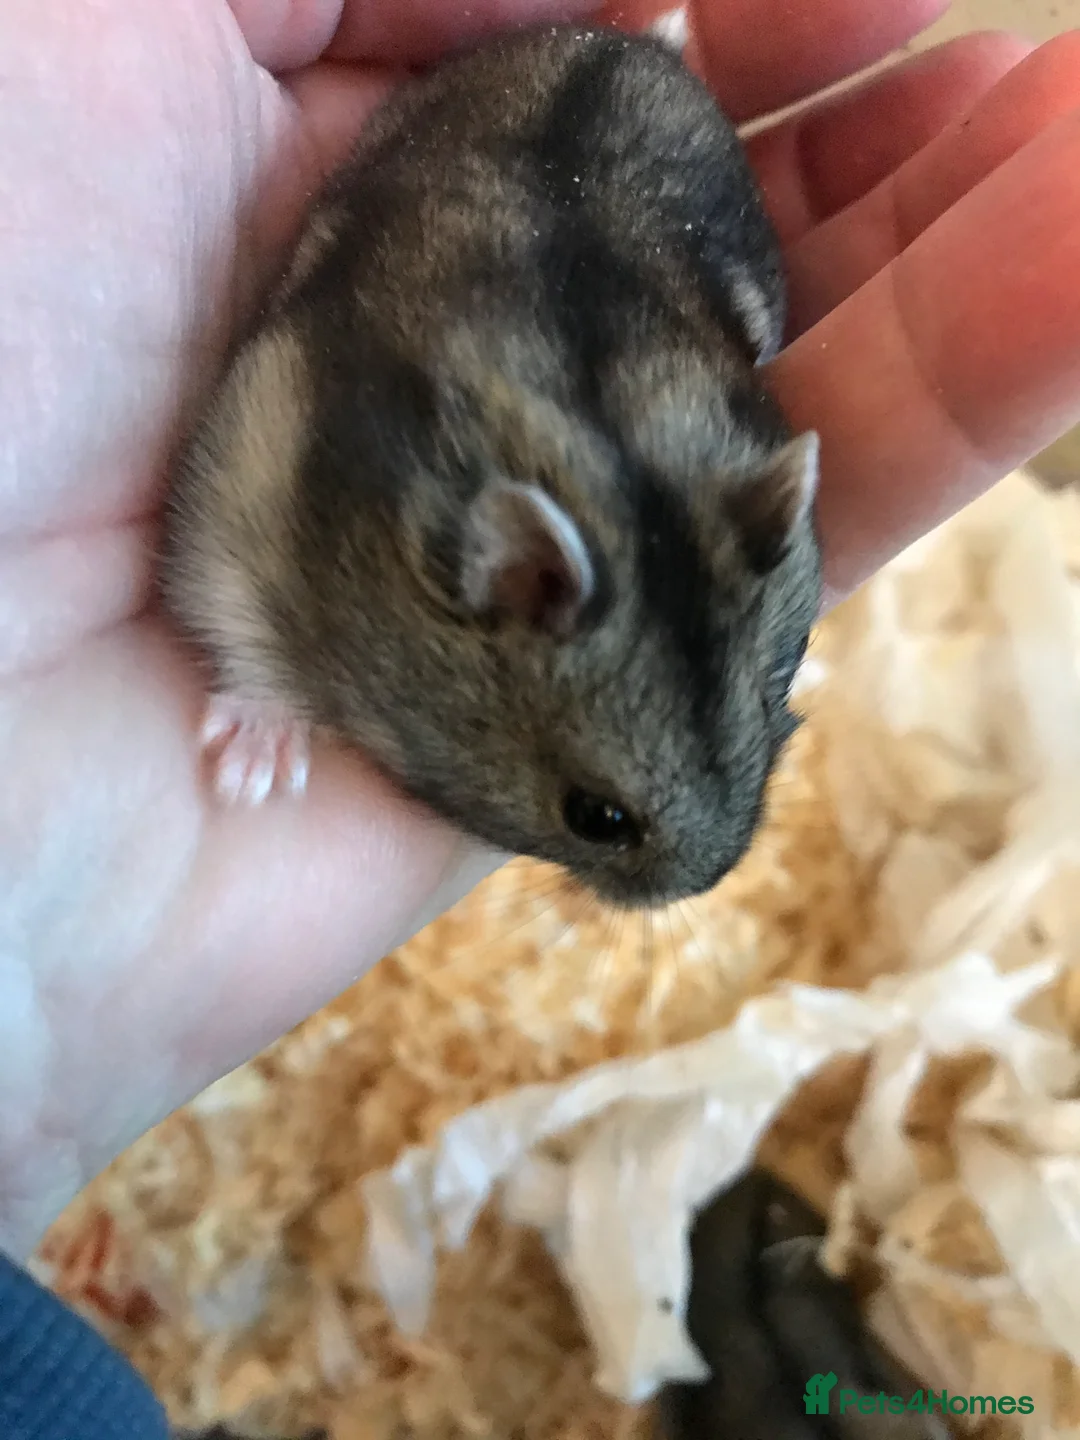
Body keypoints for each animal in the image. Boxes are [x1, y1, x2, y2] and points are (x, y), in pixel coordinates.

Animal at [160, 22, 823, 910]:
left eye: (779, 686)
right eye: (597, 817)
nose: (705, 884)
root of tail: (626, 42)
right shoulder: (248, 469)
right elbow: (240, 626)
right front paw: (249, 778)